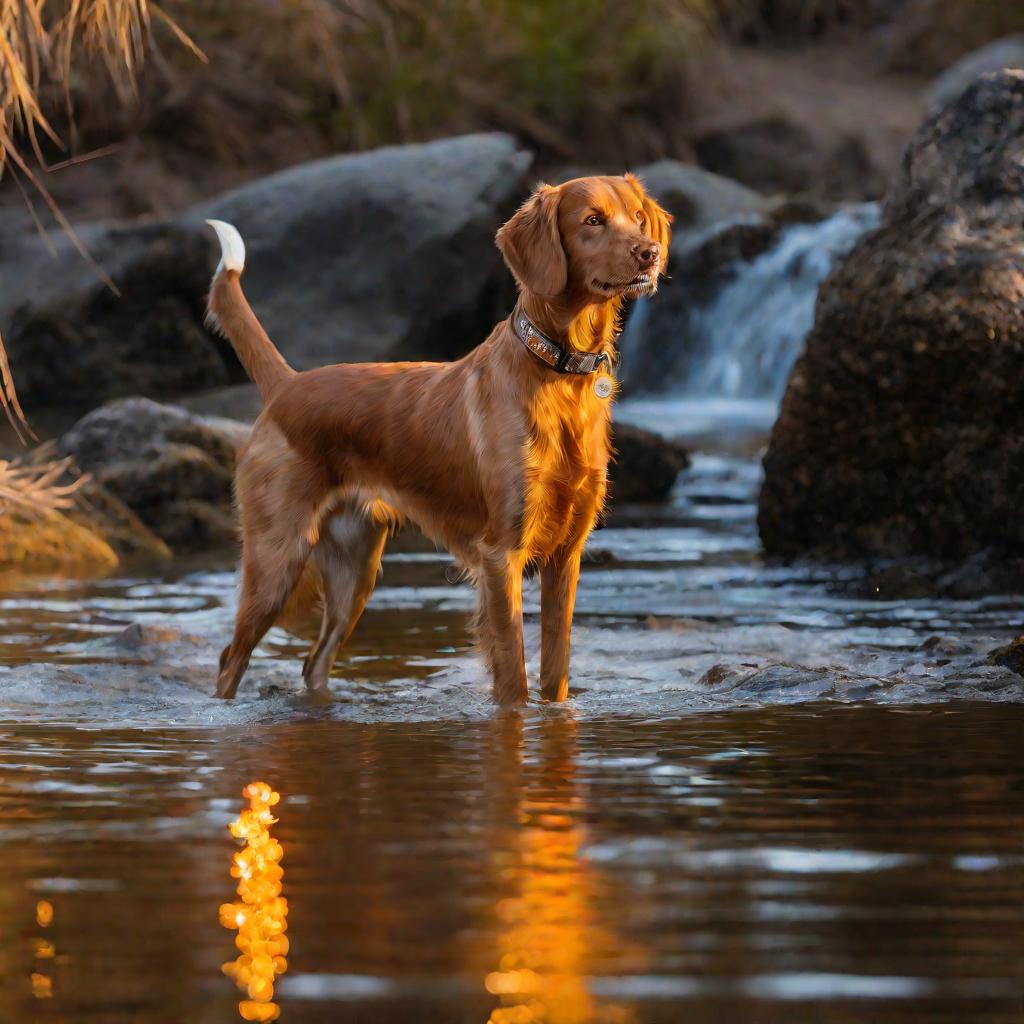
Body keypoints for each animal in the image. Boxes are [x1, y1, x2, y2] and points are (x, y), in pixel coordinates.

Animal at [206, 176, 671, 704]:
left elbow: (555, 677)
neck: (558, 375)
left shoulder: (565, 557)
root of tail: (288, 384)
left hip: (354, 570)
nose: (650, 253)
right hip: (276, 558)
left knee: (314, 661)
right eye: (592, 220)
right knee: (232, 658)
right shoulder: (500, 556)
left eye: (638, 217)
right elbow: (514, 678)